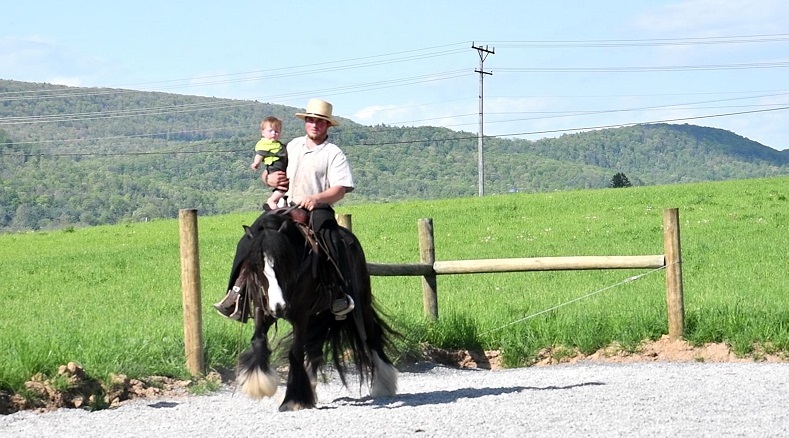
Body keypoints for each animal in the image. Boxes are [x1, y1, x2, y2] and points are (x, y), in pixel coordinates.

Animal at [226, 207, 399, 411]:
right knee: (315, 351)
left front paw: (292, 400)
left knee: (370, 336)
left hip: (360, 304)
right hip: (320, 314)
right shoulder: (262, 309)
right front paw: (259, 384)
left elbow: (295, 353)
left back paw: (384, 384)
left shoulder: (300, 314)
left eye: (283, 263)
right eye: (256, 266)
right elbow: (258, 341)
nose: (279, 307)